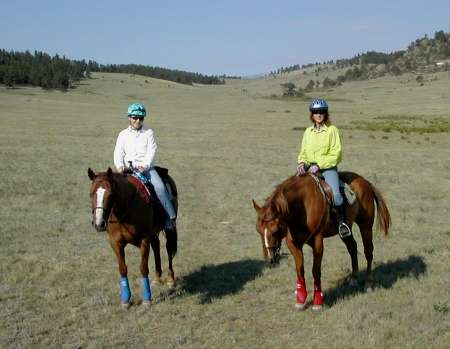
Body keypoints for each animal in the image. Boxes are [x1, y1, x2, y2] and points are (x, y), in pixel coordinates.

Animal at [87, 165, 178, 304]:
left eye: (110, 194)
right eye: (91, 193)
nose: (99, 223)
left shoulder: (144, 240)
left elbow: (143, 268)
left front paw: (147, 299)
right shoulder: (115, 242)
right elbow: (122, 269)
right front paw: (125, 300)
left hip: (169, 227)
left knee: (168, 249)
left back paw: (170, 279)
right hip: (153, 232)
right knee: (156, 246)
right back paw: (157, 278)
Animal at [253, 171, 390, 310]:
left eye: (275, 230)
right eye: (258, 230)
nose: (269, 258)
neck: (302, 205)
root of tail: (365, 182)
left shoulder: (317, 241)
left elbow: (315, 271)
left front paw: (318, 301)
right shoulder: (293, 245)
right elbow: (300, 270)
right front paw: (300, 299)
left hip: (365, 226)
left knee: (368, 252)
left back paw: (368, 283)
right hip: (347, 230)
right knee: (352, 248)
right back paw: (354, 278)